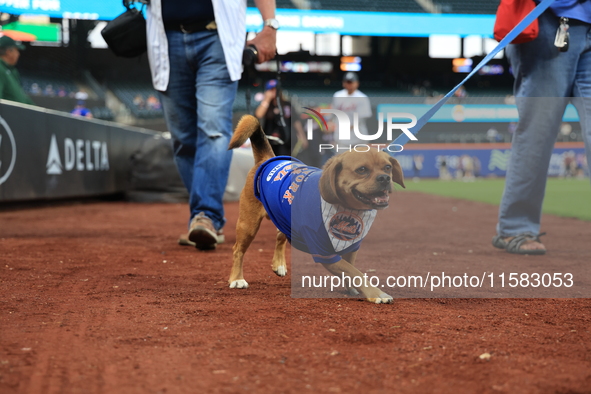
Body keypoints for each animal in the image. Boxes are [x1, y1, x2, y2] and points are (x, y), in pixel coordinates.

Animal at [228, 114, 408, 304]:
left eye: (388, 167)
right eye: (362, 170)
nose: (385, 178)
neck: (347, 208)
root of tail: (267, 159)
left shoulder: (352, 247)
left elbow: (351, 270)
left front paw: (352, 288)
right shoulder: (325, 253)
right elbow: (355, 272)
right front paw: (377, 294)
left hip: (284, 218)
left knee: (279, 236)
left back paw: (279, 265)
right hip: (248, 225)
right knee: (238, 250)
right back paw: (237, 279)